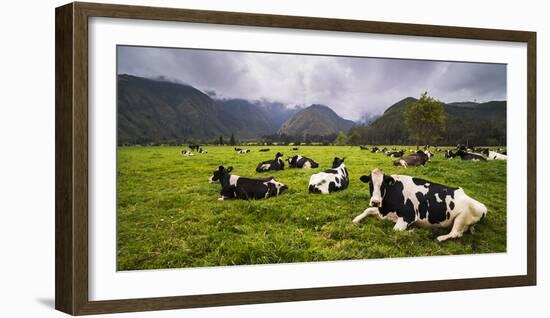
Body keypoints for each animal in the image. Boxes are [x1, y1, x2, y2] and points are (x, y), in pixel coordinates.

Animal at [354, 169, 488, 241]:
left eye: (383, 184)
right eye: (370, 183)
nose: (376, 201)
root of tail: (483, 207)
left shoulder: (409, 216)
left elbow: (395, 230)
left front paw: (413, 231)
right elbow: (367, 210)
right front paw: (355, 220)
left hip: (461, 218)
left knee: (456, 233)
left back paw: (440, 238)